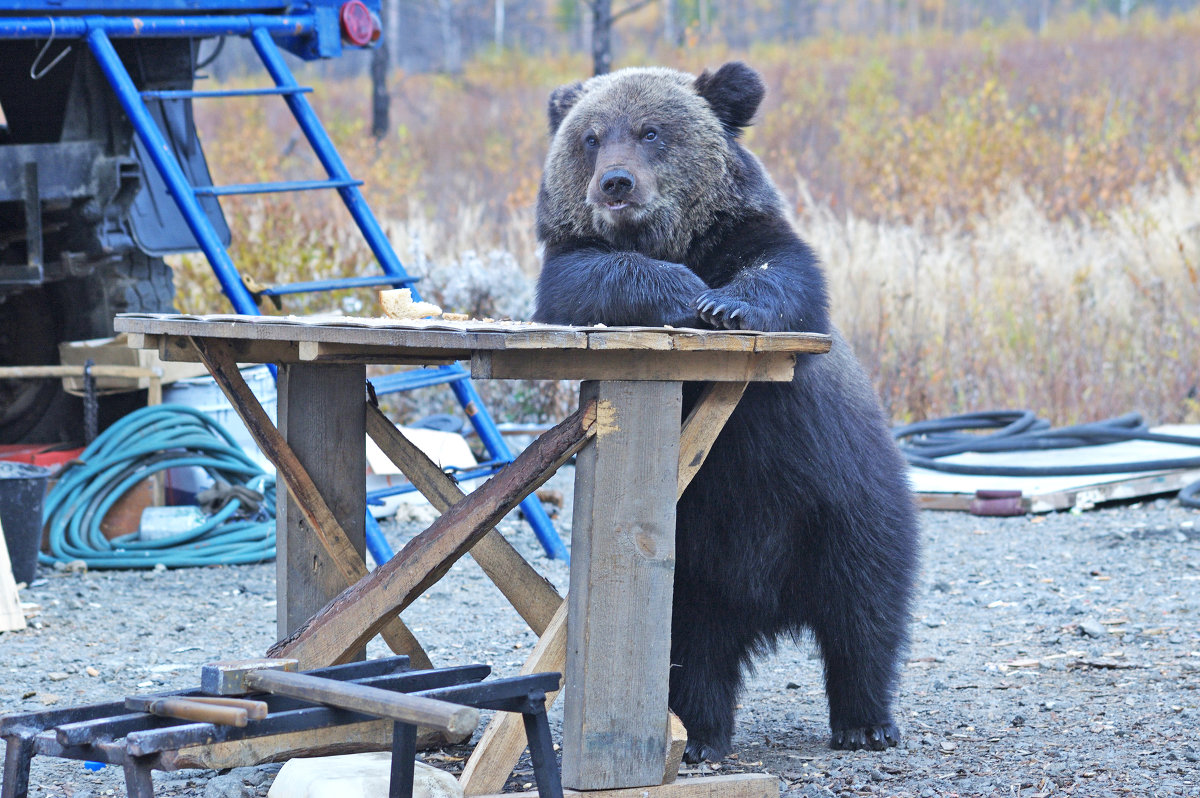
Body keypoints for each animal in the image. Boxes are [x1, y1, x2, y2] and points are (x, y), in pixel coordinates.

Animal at [530, 63, 912, 758]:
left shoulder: (752, 235)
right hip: (696, 551)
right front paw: (684, 291)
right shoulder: (570, 265)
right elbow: (595, 277)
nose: (615, 183)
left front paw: (725, 304)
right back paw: (702, 735)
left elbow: (781, 273)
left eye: (651, 131)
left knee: (863, 610)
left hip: (843, 503)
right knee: (693, 645)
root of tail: (768, 602)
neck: (679, 238)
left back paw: (865, 720)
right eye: (591, 137)